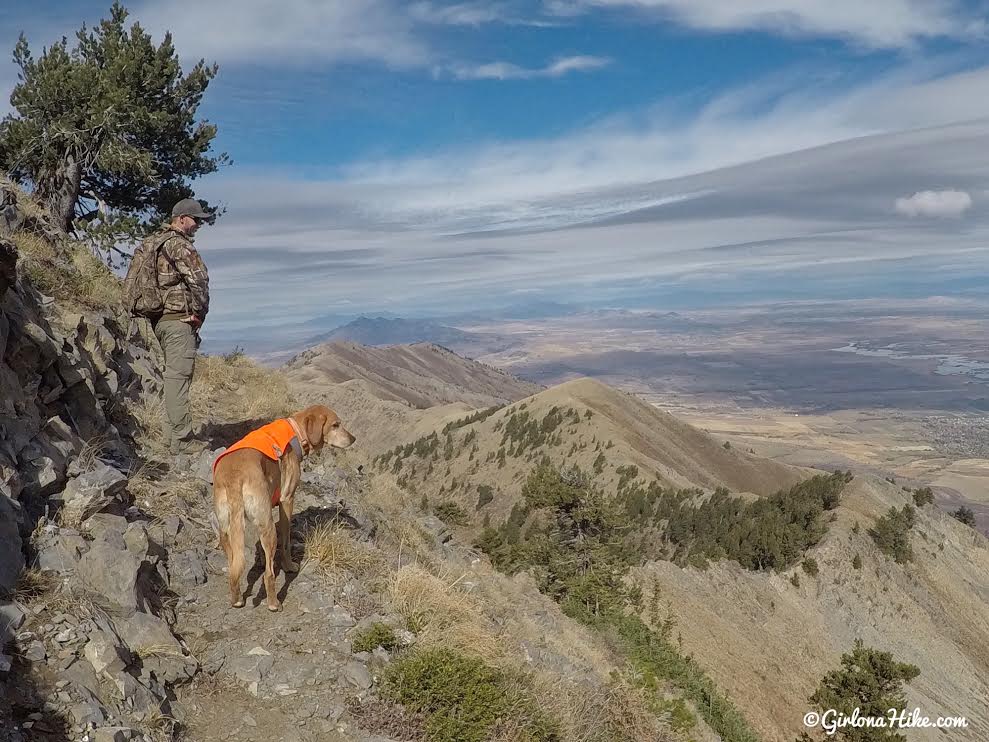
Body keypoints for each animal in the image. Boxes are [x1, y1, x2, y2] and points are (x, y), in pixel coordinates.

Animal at [212, 406, 356, 612]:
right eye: (336, 425)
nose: (353, 439)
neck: (296, 431)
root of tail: (234, 478)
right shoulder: (287, 500)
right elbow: (286, 542)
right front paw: (289, 565)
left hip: (226, 528)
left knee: (234, 569)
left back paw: (236, 599)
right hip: (268, 527)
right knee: (268, 574)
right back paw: (273, 603)